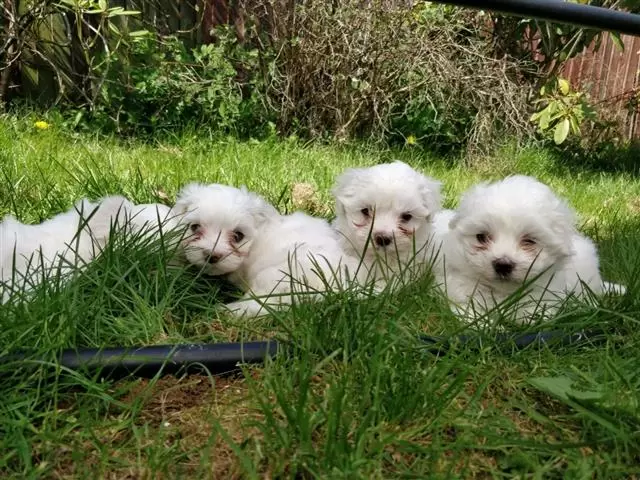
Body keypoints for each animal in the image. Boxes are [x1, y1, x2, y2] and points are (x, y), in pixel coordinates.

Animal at [430, 174, 624, 320]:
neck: (505, 293)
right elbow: (469, 311)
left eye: (529, 241)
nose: (502, 264)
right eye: (481, 237)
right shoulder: (459, 290)